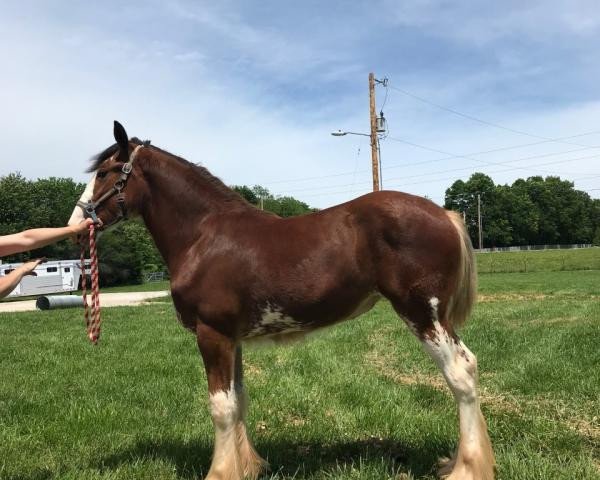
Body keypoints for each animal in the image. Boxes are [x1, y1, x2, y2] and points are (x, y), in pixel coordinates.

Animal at [68, 121, 494, 480]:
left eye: (104, 172)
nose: (76, 223)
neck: (203, 236)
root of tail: (445, 214)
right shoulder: (232, 338)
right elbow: (238, 399)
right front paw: (249, 466)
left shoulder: (212, 333)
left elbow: (220, 407)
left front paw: (220, 472)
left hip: (423, 314)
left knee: (460, 373)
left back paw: (467, 468)